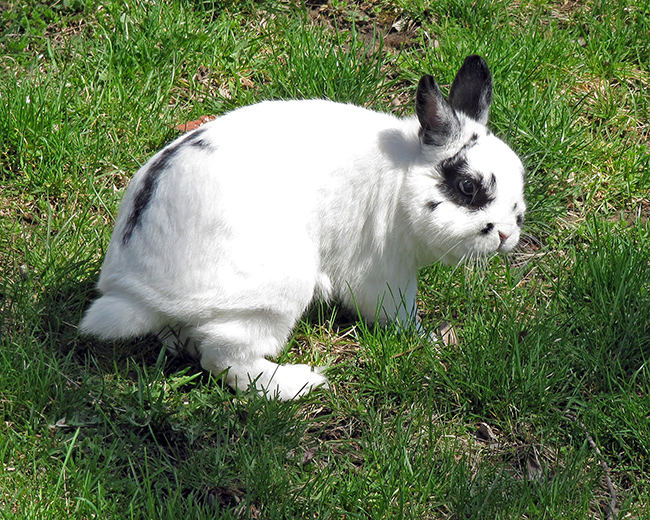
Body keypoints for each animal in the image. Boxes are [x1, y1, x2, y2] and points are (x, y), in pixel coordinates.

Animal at [81, 55, 528, 398]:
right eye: (468, 187)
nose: (508, 234)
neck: (403, 177)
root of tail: (134, 291)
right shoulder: (386, 273)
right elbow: (397, 315)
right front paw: (432, 340)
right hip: (276, 294)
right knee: (225, 358)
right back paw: (301, 384)